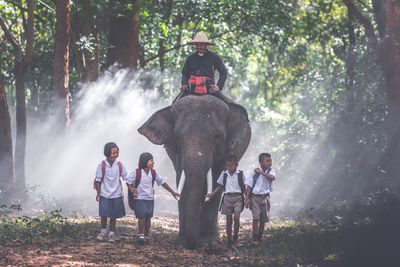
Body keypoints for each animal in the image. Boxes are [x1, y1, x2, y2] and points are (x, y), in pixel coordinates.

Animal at [138, 95, 250, 250]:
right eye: (177, 136)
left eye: (217, 136)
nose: (192, 245)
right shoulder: (176, 152)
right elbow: (181, 178)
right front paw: (181, 243)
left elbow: (217, 181)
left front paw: (208, 243)